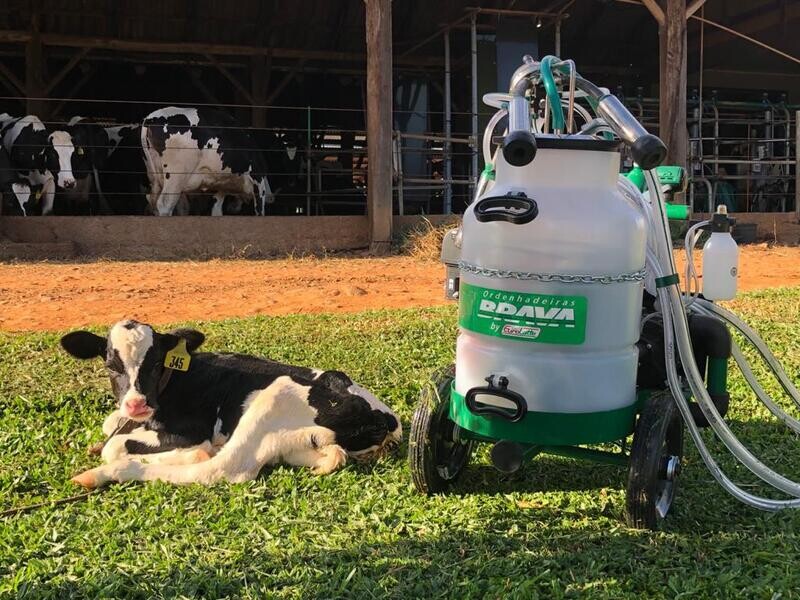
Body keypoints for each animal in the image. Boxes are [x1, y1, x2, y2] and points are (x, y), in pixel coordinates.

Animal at [59, 318, 404, 488]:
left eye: (156, 362)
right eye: (110, 366)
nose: (136, 405)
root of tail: (386, 418)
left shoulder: (191, 430)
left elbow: (114, 445)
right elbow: (110, 427)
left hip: (273, 397)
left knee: (220, 468)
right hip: (295, 441)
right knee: (333, 455)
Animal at [139, 106, 274, 217]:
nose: (270, 197)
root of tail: (151, 118)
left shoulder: (219, 189)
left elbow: (216, 212)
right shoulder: (258, 182)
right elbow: (259, 211)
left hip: (155, 176)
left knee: (153, 200)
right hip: (176, 175)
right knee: (165, 204)